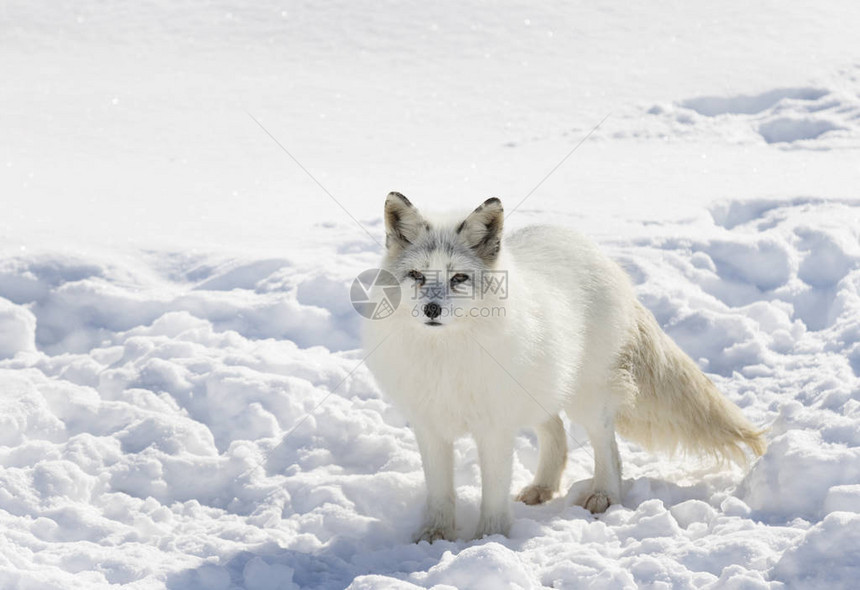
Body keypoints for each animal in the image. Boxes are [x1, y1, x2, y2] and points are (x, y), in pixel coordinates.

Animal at [362, 192, 764, 544]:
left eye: (458, 278)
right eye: (417, 275)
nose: (431, 310)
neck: (445, 357)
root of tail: (591, 248)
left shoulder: (494, 429)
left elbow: (493, 491)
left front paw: (488, 539)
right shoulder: (430, 426)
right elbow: (440, 492)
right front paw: (434, 535)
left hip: (588, 399)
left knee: (609, 448)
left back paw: (604, 495)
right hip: (542, 391)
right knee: (556, 432)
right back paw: (543, 487)